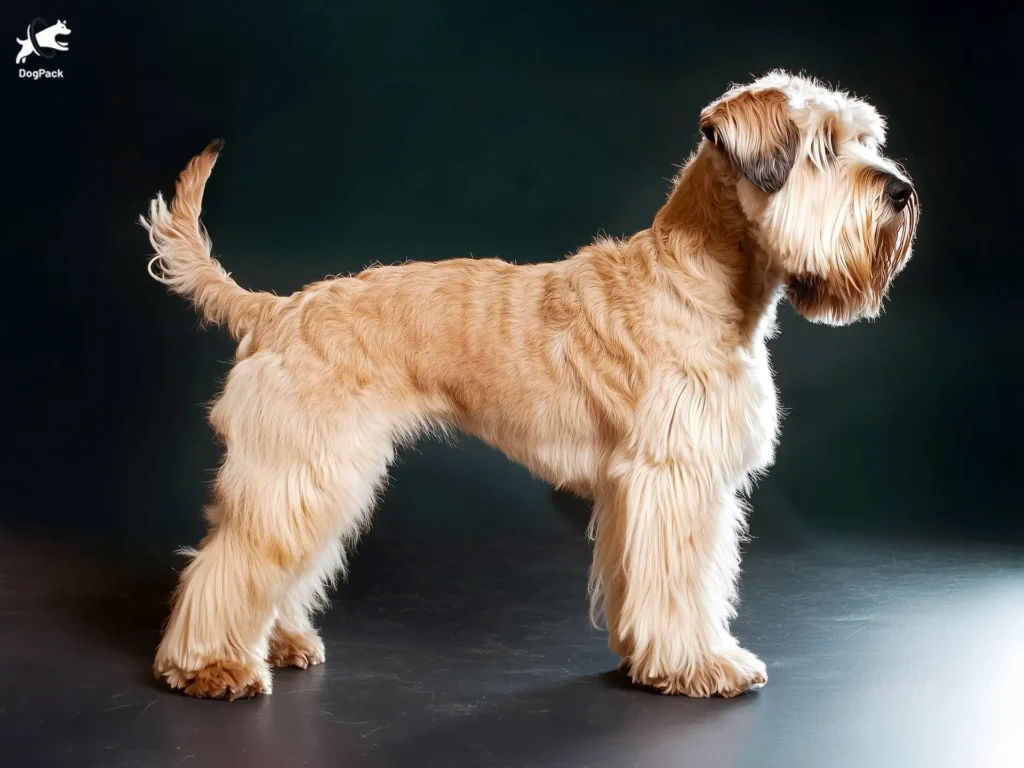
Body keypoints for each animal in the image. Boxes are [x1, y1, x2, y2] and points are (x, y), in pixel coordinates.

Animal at [142, 69, 921, 700]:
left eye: (865, 138)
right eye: (822, 147)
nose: (902, 190)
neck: (703, 277)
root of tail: (277, 309)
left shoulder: (652, 489)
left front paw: (649, 658)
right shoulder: (673, 477)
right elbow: (684, 586)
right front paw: (699, 666)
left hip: (318, 476)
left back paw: (280, 642)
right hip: (302, 468)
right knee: (223, 565)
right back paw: (210, 665)